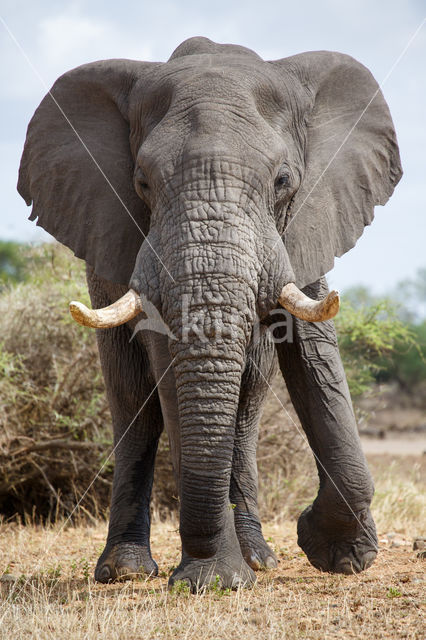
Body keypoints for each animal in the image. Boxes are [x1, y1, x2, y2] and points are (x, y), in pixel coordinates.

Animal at [18, 38, 402, 592]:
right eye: (141, 183)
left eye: (283, 180)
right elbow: (167, 372)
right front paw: (213, 580)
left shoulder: (307, 220)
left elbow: (315, 357)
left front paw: (337, 555)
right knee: (132, 400)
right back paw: (126, 571)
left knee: (248, 402)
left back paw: (259, 559)